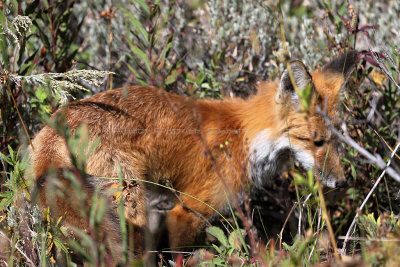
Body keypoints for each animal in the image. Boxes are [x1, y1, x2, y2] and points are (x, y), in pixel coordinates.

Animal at [29, 49, 358, 260]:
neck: (245, 136)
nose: (342, 183)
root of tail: (59, 124)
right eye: (316, 141)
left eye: (335, 140)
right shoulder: (187, 211)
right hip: (131, 207)